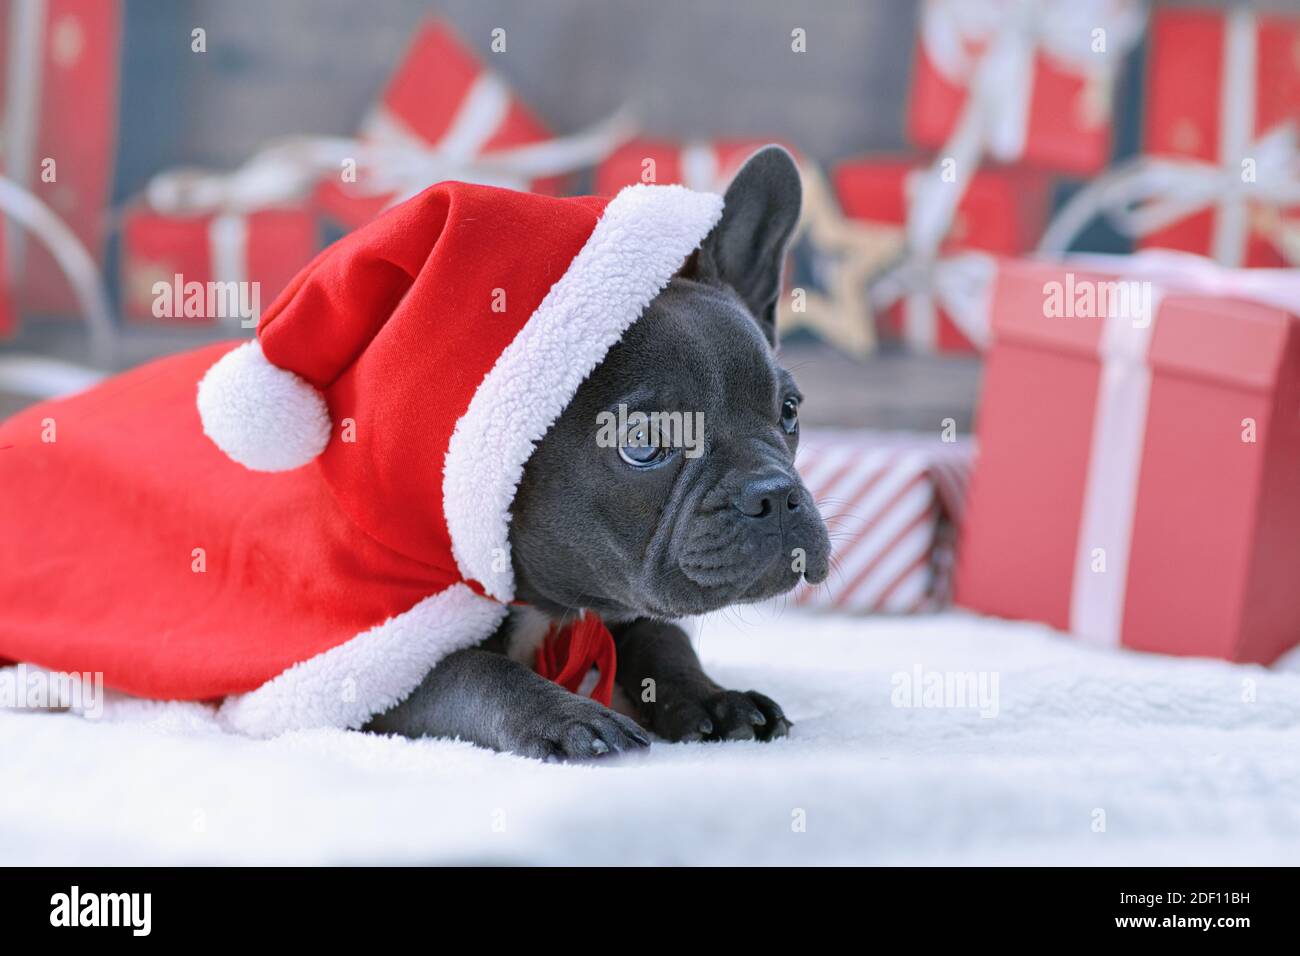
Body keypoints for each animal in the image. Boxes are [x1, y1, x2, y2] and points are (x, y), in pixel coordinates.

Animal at [366, 147, 832, 764]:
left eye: (789, 412)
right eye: (642, 443)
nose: (776, 495)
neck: (549, 605)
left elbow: (664, 636)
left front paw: (714, 697)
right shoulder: (379, 666)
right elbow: (470, 671)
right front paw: (565, 717)